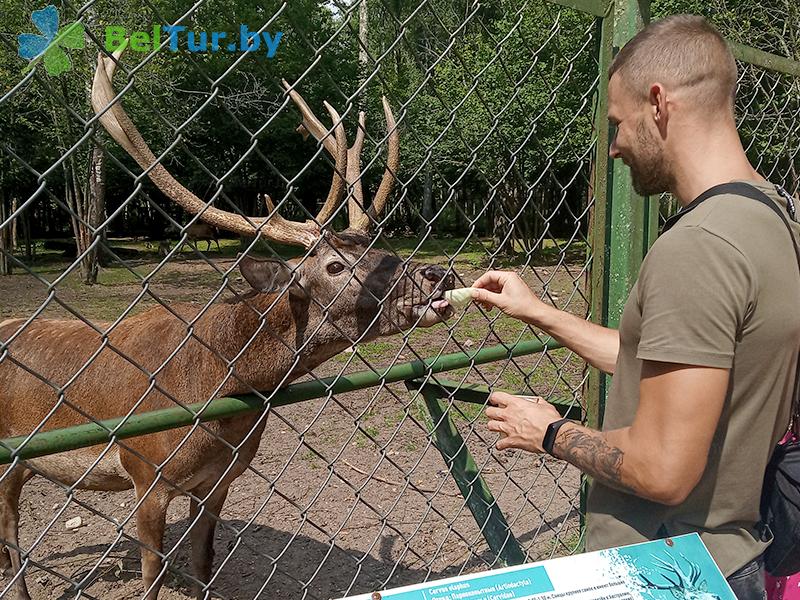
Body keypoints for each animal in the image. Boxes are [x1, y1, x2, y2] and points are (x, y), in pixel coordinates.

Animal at [0, 49, 454, 596]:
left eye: (379, 244)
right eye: (335, 266)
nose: (438, 275)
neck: (214, 390)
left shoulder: (222, 481)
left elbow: (203, 562)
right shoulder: (144, 472)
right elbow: (152, 576)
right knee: (10, 524)